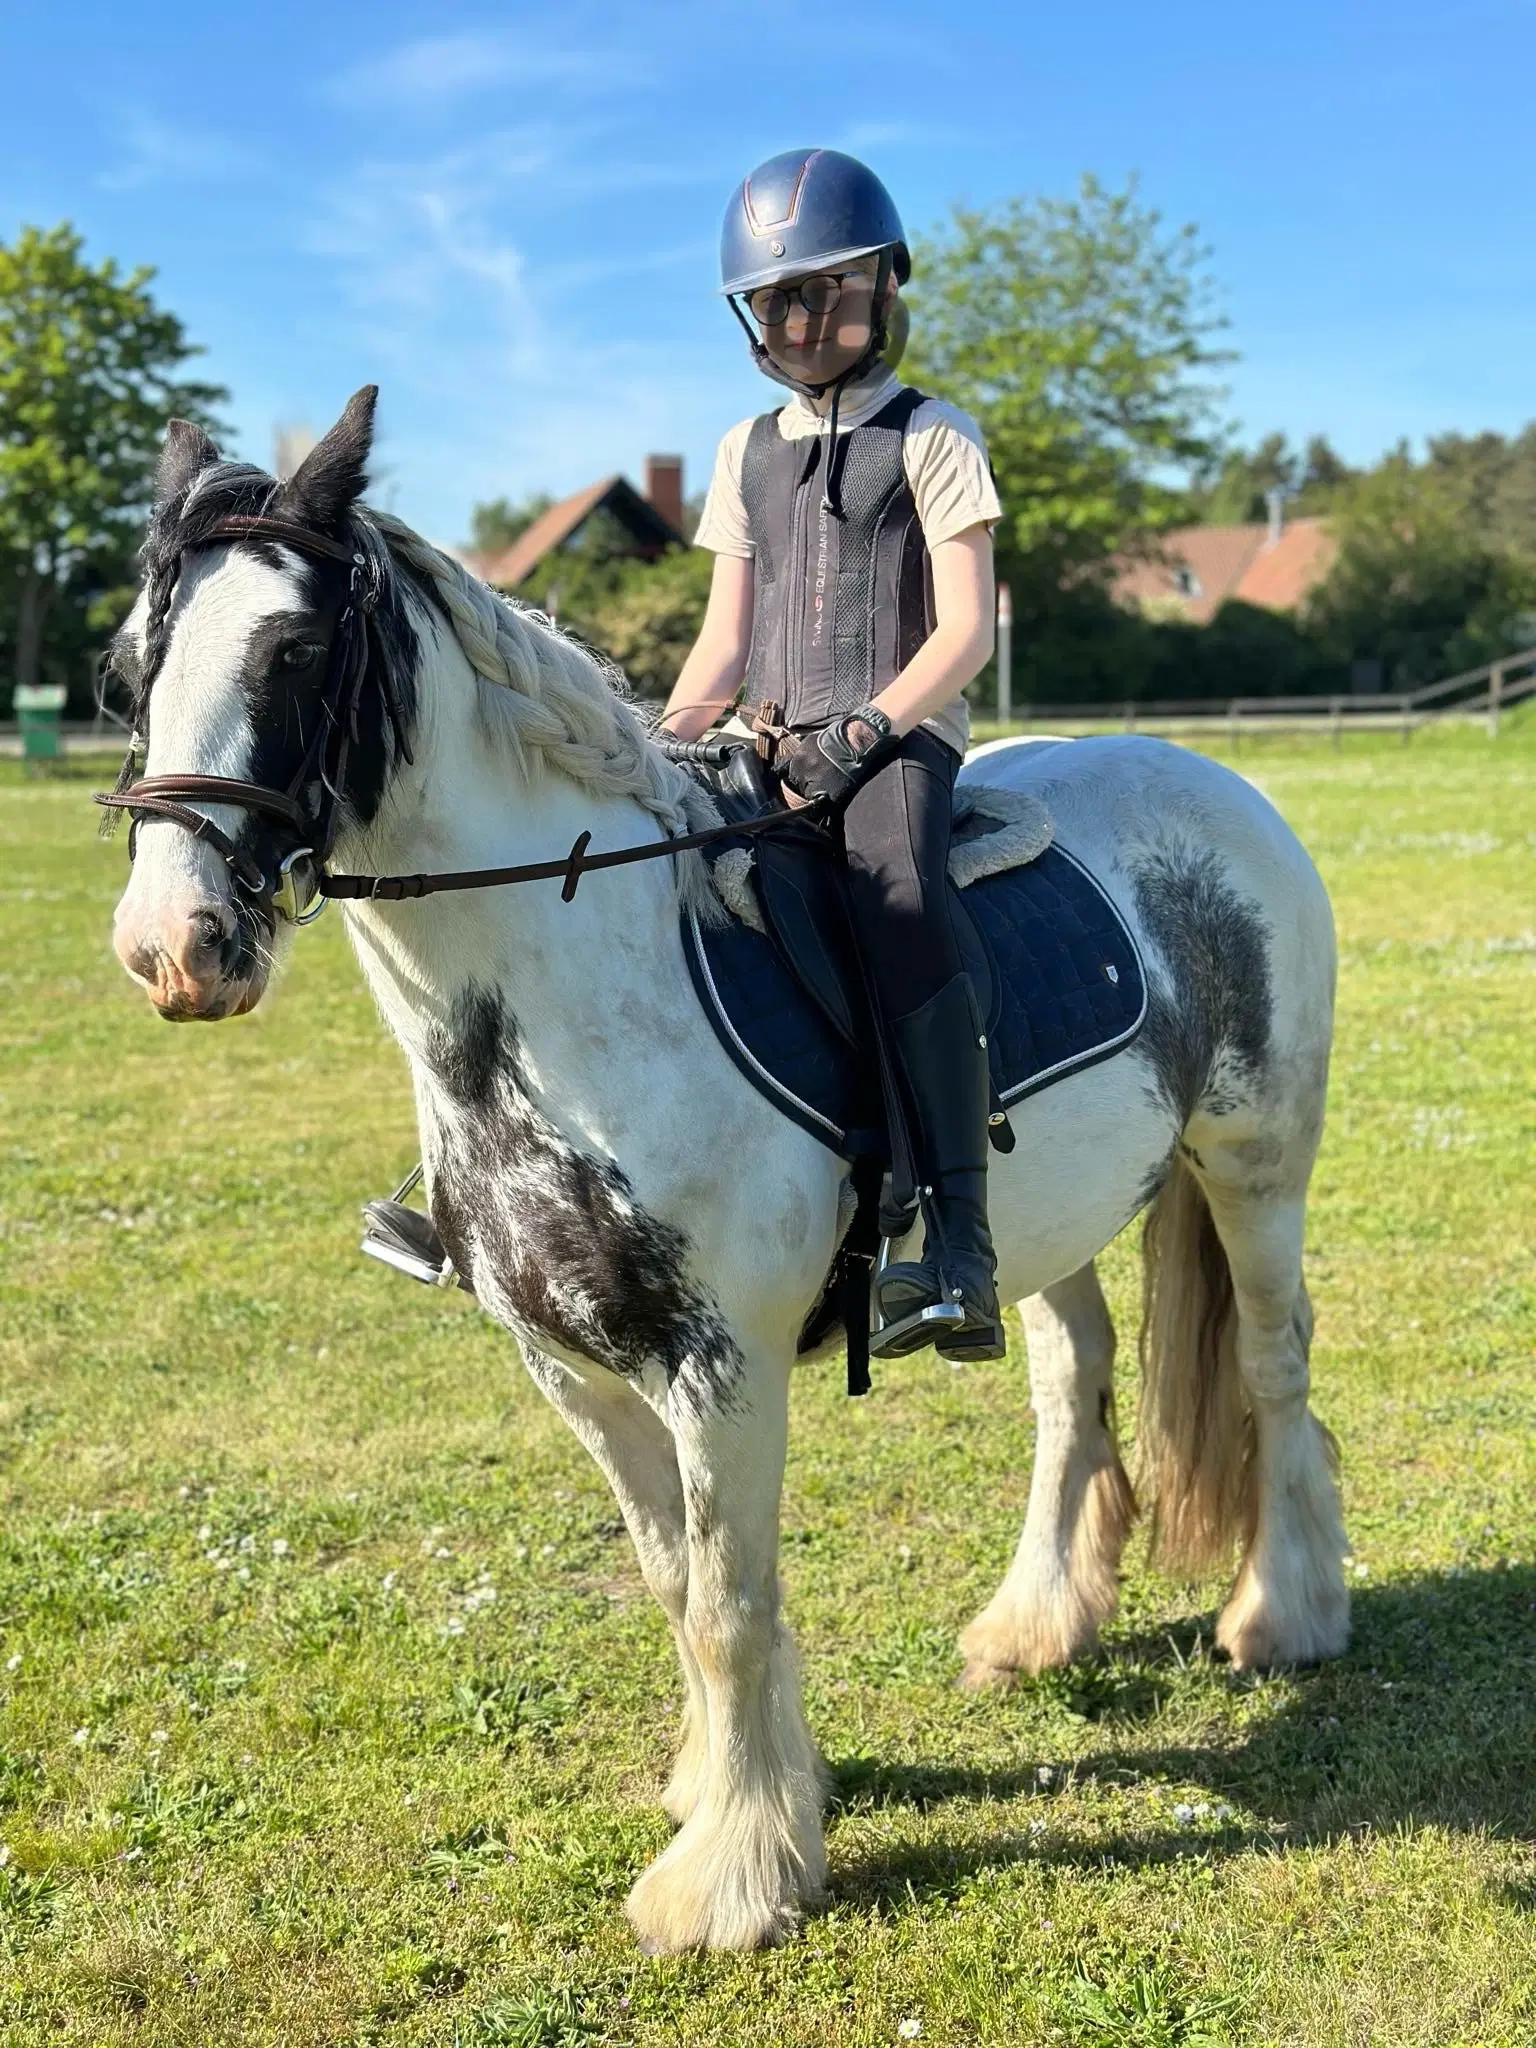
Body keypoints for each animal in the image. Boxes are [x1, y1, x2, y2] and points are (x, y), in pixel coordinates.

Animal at [105, 387, 1343, 1949]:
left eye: (294, 651)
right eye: (127, 671)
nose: (173, 947)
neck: (575, 982)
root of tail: (1212, 777)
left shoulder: (723, 1364)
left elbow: (728, 1598)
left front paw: (733, 1877)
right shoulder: (570, 1368)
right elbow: (671, 1576)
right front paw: (727, 1788)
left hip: (1255, 1163)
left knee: (1275, 1365)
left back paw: (1285, 1614)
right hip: (1039, 1219)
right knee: (1073, 1380)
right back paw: (1035, 1624)